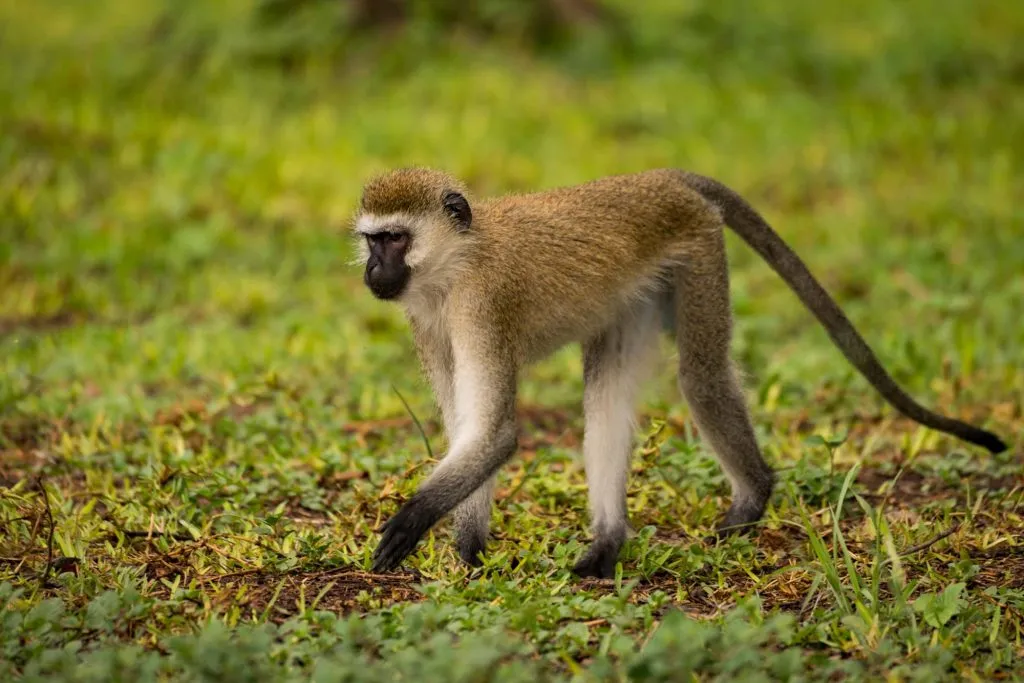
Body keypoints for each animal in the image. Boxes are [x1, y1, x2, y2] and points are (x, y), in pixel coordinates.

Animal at [354, 166, 1007, 577]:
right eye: (371, 241)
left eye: (395, 238)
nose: (372, 272)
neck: (456, 264)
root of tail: (659, 180)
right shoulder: (428, 320)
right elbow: (470, 430)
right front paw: (468, 552)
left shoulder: (482, 305)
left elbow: (493, 432)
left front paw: (414, 520)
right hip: (634, 293)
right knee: (608, 399)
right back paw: (608, 545)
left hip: (698, 249)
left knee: (702, 375)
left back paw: (752, 499)